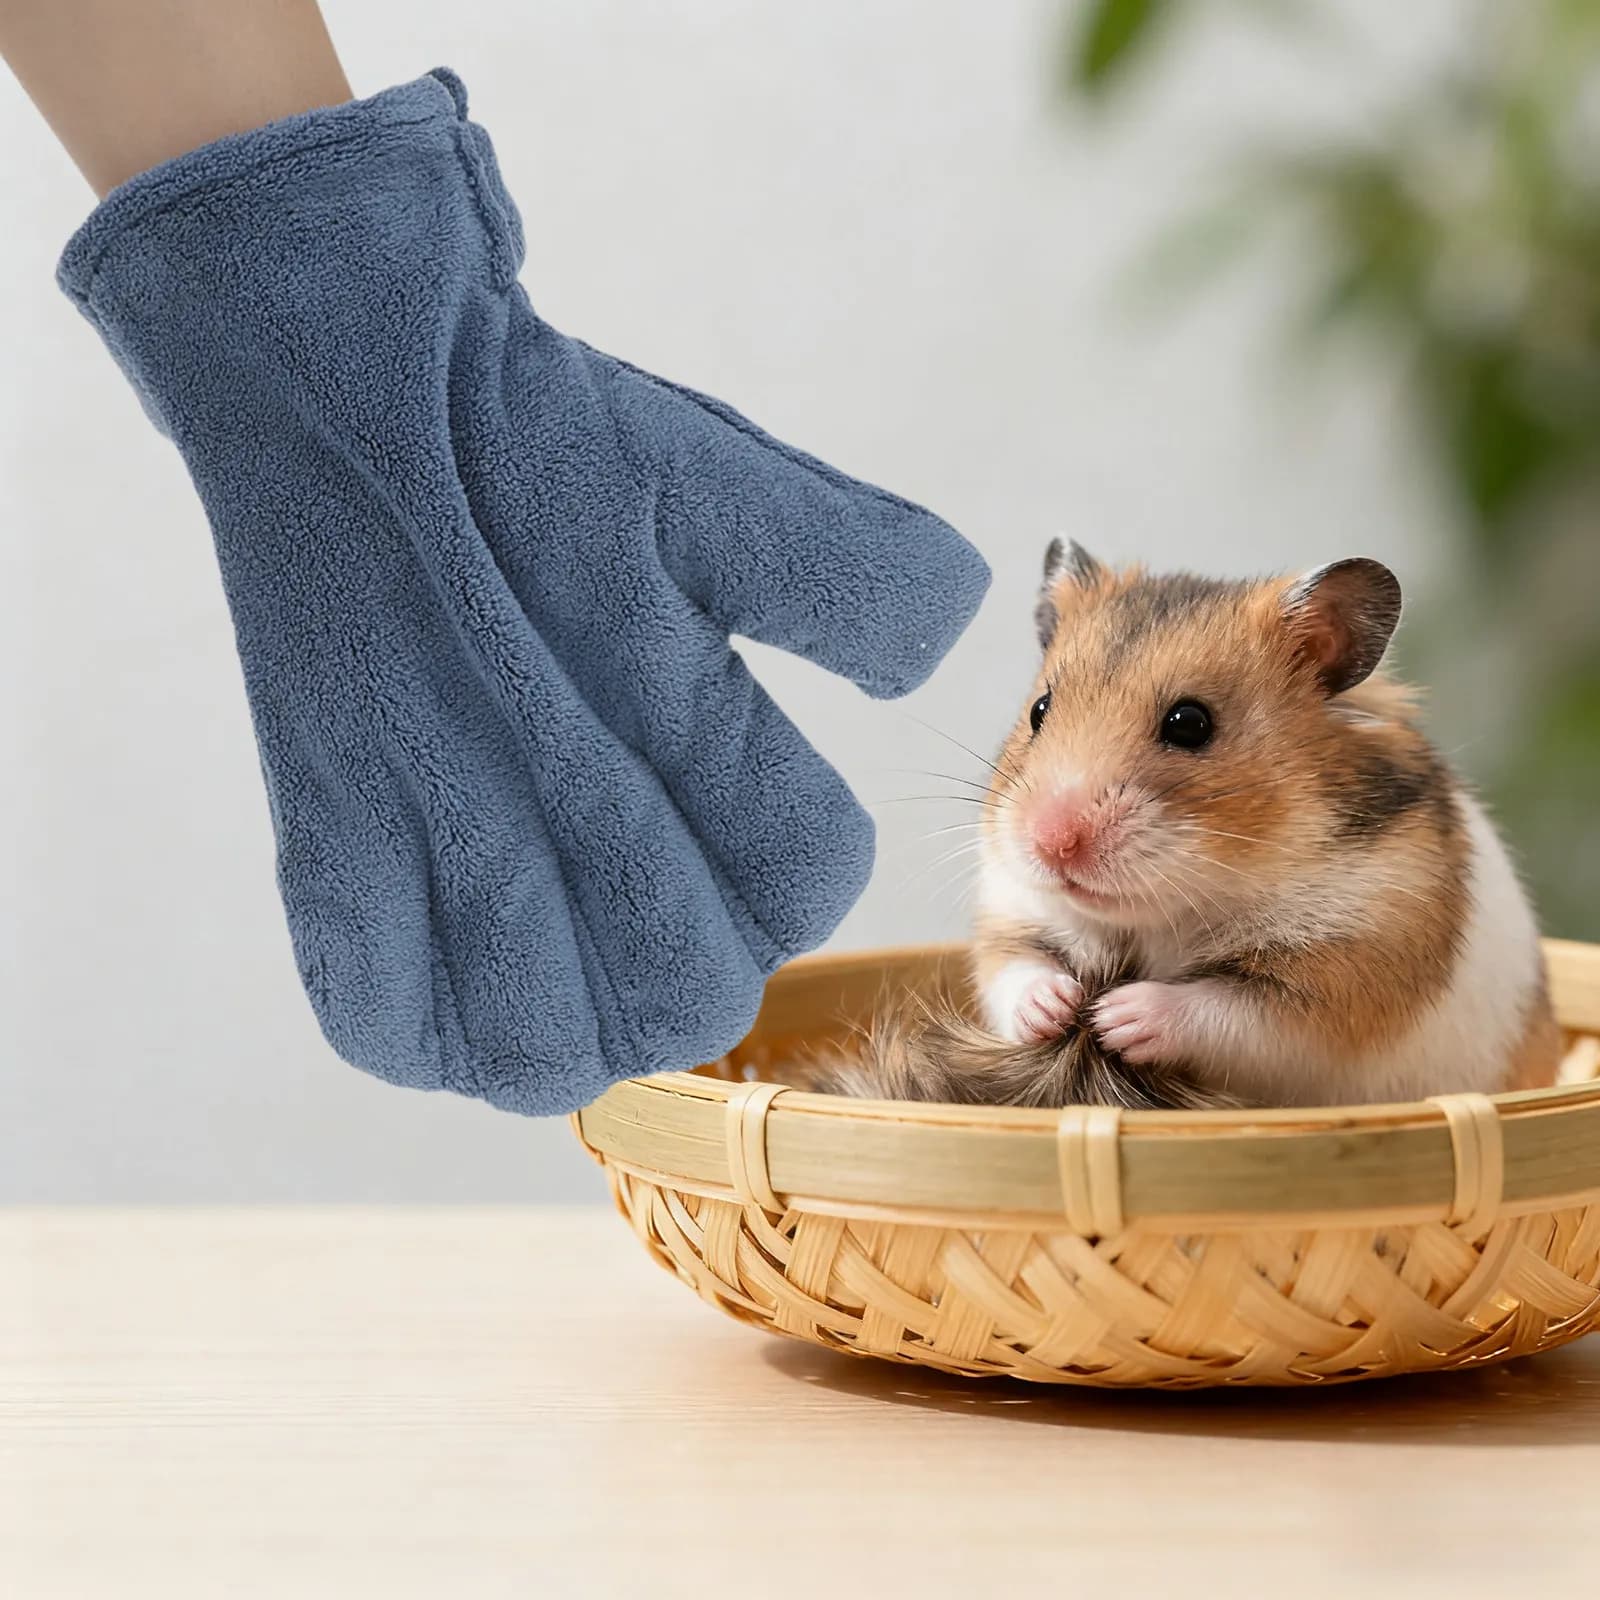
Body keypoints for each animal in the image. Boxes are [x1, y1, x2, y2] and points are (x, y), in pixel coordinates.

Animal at [966, 541, 1562, 1108]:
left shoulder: (1341, 978)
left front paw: (1115, 1017)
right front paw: (1057, 1009)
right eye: (1040, 710)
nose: (1051, 844)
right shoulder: (1011, 917)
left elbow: (1227, 1012)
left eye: (1190, 724)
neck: (1172, 911)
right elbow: (1015, 971)